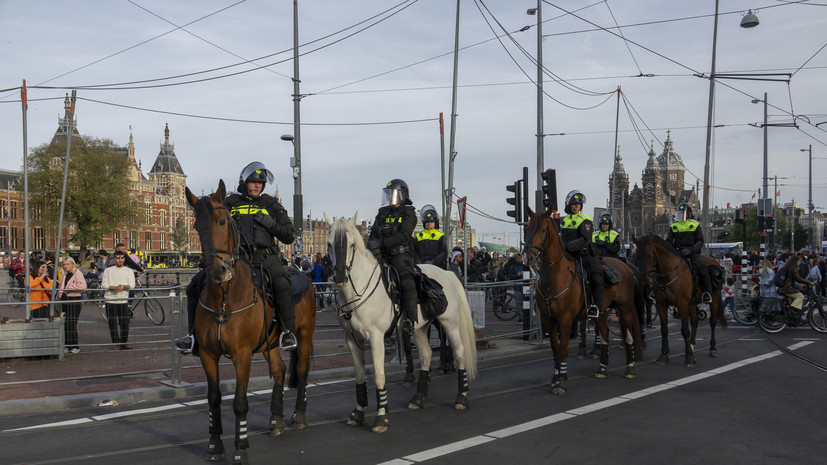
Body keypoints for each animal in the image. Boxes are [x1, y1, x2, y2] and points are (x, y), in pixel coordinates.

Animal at [185, 180, 316, 464]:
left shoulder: (242, 355)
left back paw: (299, 415)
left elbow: (240, 402)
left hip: (304, 335)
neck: (224, 298)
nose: (217, 271)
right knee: (279, 371)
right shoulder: (208, 355)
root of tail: (300, 272)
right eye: (196, 225)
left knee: (301, 371)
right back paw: (276, 420)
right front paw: (215, 445)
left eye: (223, 221)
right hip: (269, 343)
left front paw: (240, 448)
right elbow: (214, 398)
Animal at [326, 214, 478, 432]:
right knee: (426, 354)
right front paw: (358, 412)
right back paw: (418, 398)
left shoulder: (376, 338)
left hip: (450, 323)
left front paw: (381, 417)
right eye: (329, 244)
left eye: (352, 245)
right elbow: (360, 375)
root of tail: (447, 273)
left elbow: (378, 374)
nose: (339, 277)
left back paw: (461, 397)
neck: (358, 291)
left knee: (459, 352)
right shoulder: (352, 340)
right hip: (421, 327)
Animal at [524, 205, 648, 394]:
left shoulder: (566, 320)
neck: (554, 278)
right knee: (605, 334)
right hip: (601, 312)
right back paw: (602, 368)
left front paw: (561, 381)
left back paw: (630, 368)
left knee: (629, 336)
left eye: (543, 230)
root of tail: (626, 266)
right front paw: (555, 377)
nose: (528, 257)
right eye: (528, 228)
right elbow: (554, 349)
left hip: (625, 308)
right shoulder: (548, 320)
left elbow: (564, 349)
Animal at [632, 232, 724, 366]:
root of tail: (715, 261)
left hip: (714, 300)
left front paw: (689, 358)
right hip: (693, 303)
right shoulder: (661, 304)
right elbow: (664, 330)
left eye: (650, 254)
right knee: (695, 322)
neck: (668, 274)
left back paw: (712, 348)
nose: (645, 280)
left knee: (712, 322)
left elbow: (685, 330)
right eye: (637, 255)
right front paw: (664, 355)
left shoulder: (682, 304)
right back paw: (691, 345)